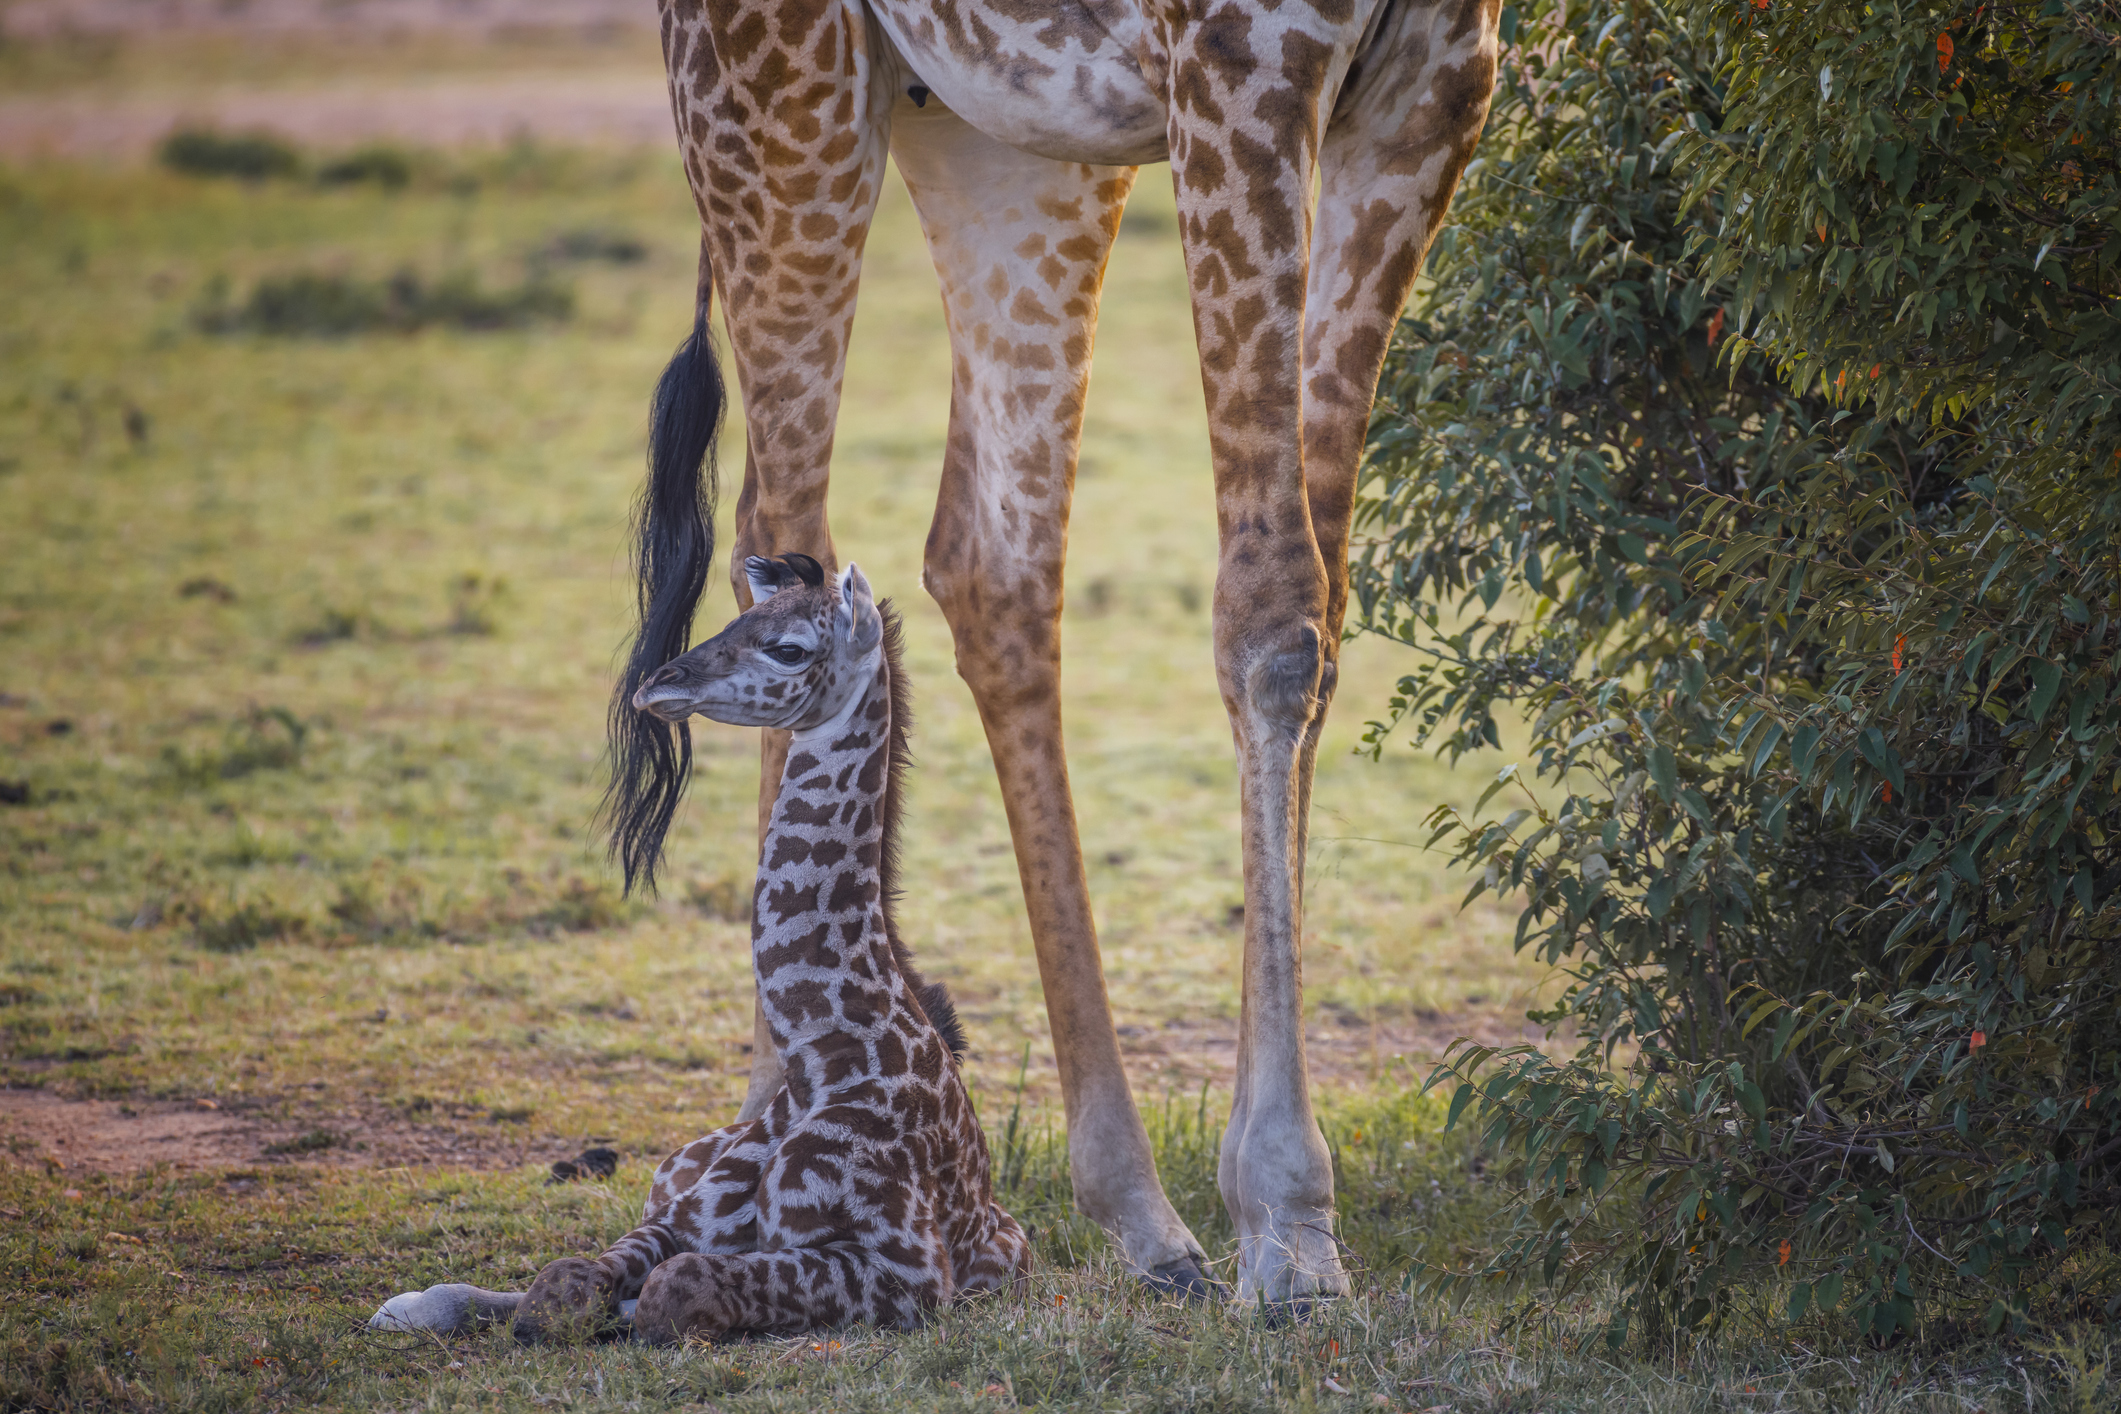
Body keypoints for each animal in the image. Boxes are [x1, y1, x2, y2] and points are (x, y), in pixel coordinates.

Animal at [375, 555, 1035, 1348]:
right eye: (735, 617)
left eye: (787, 648)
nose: (657, 682)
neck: (822, 1060)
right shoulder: (679, 1218)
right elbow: (564, 1283)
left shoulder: (905, 1271)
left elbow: (671, 1290)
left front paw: (635, 1312)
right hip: (671, 1168)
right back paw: (408, 1305)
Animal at [610, 0, 1510, 1305]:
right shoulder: (1239, 65)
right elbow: (1272, 614)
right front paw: (1289, 1225)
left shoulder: (1435, 90)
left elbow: (1323, 615)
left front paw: (1277, 1217)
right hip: (778, 102)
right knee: (779, 529)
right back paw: (782, 1119)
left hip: (1008, 145)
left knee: (991, 559)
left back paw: (1142, 1215)